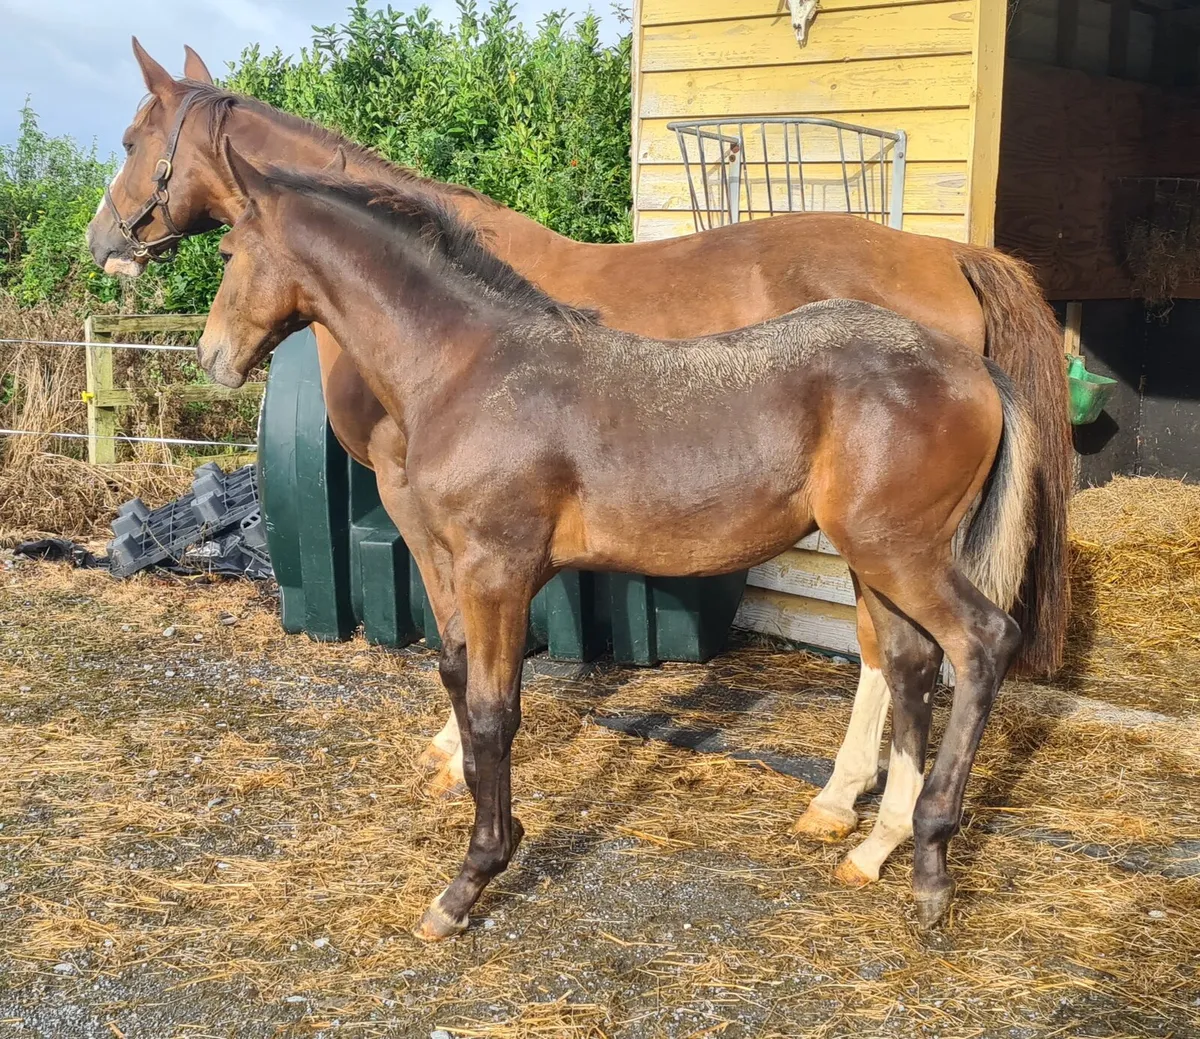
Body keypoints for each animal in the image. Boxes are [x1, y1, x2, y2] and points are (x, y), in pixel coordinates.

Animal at [86, 40, 1070, 888]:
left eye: (133, 140)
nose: (103, 245)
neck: (468, 352)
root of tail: (956, 283)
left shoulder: (451, 530)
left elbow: (474, 674)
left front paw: (463, 798)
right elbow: (460, 662)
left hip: (891, 545)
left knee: (956, 646)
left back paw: (890, 827)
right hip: (879, 545)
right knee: (905, 657)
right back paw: (869, 830)